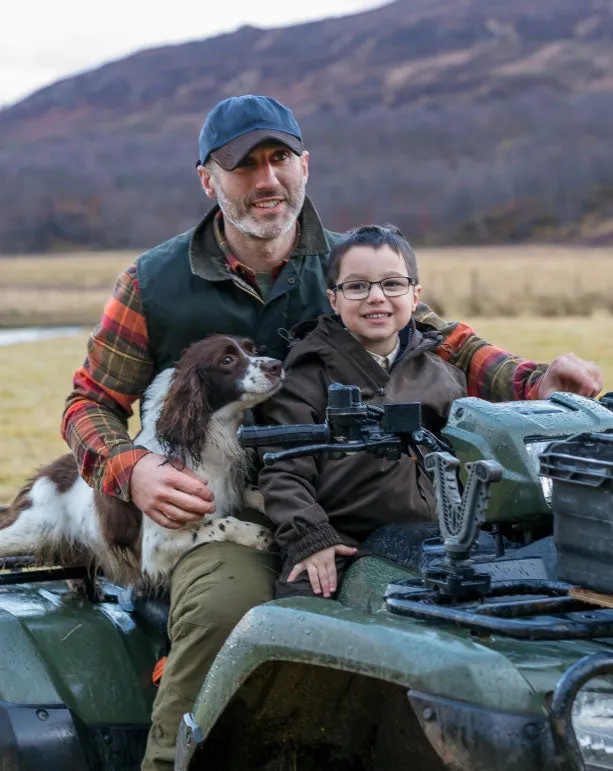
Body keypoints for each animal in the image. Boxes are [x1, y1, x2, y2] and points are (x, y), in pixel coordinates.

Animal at [0, 334, 282, 588]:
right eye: (227, 360)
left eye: (252, 349)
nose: (276, 365)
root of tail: (41, 476)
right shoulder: (155, 548)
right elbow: (221, 523)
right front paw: (256, 533)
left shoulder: (229, 488)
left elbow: (253, 492)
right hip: (29, 530)